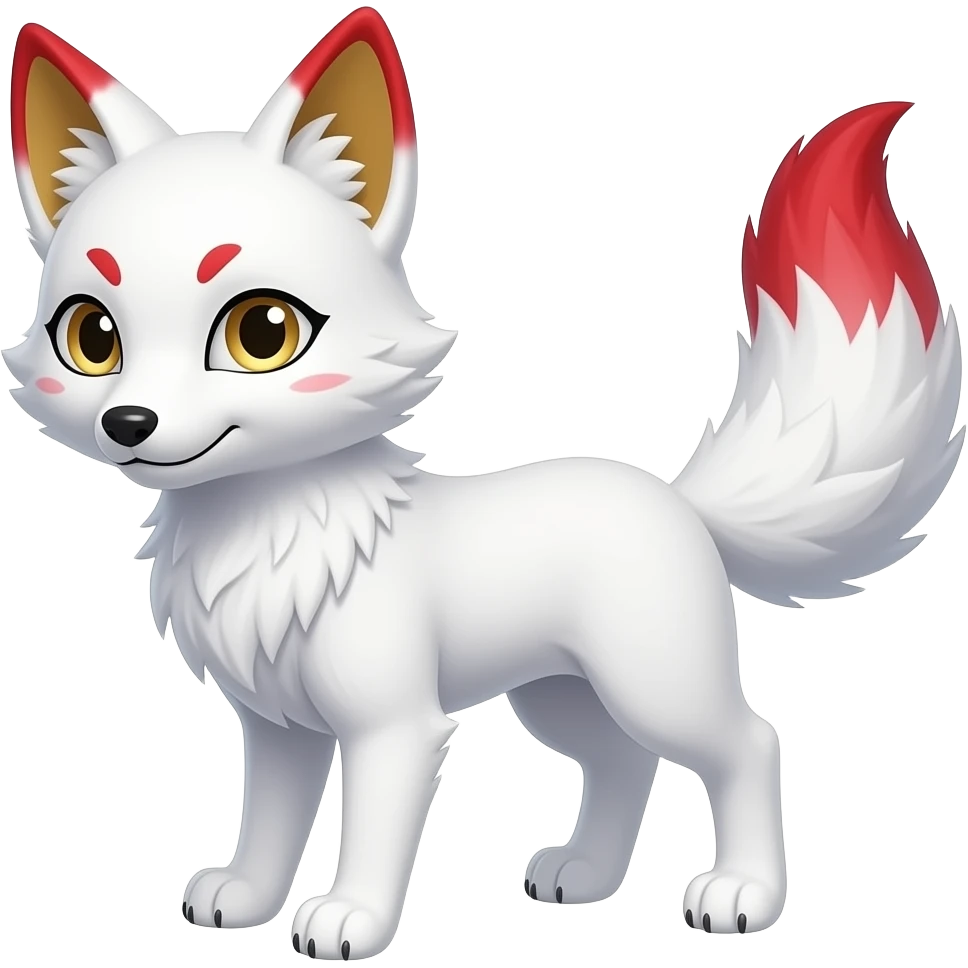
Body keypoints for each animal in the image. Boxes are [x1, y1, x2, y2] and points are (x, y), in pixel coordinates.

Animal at [6, 8, 965, 958]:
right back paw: (586, 875)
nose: (129, 424)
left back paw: (743, 894)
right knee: (625, 760)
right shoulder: (278, 728)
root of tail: (676, 497)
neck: (264, 529)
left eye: (263, 332)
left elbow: (371, 830)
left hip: (654, 680)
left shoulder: (393, 726)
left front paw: (350, 919)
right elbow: (270, 823)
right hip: (560, 694)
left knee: (749, 744)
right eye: (91, 338)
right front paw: (244, 898)